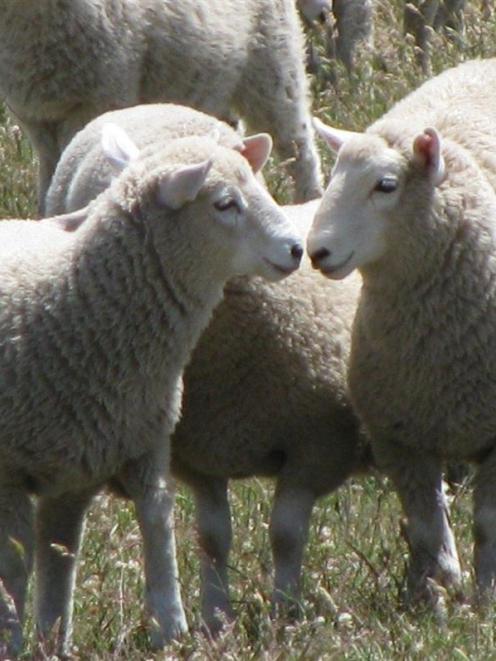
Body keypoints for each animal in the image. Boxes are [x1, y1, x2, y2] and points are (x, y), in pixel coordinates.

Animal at [0, 0, 324, 211]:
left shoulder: (100, 98)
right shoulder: (37, 119)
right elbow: (50, 180)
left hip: (273, 63)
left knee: (299, 148)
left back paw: (310, 202)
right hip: (209, 80)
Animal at [0, 124, 302, 656]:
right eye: (225, 203)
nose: (296, 248)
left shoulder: (125, 449)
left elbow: (129, 534)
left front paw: (168, 629)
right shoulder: (12, 470)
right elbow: (19, 563)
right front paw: (13, 642)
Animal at [48, 104, 370, 636]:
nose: (296, 249)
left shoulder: (314, 446)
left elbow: (285, 534)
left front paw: (285, 612)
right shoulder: (200, 455)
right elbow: (212, 537)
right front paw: (216, 617)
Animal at [306, 58, 496, 608]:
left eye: (386, 186)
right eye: (332, 177)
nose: (317, 251)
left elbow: (487, 524)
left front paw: (486, 594)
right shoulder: (399, 435)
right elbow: (427, 526)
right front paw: (431, 592)